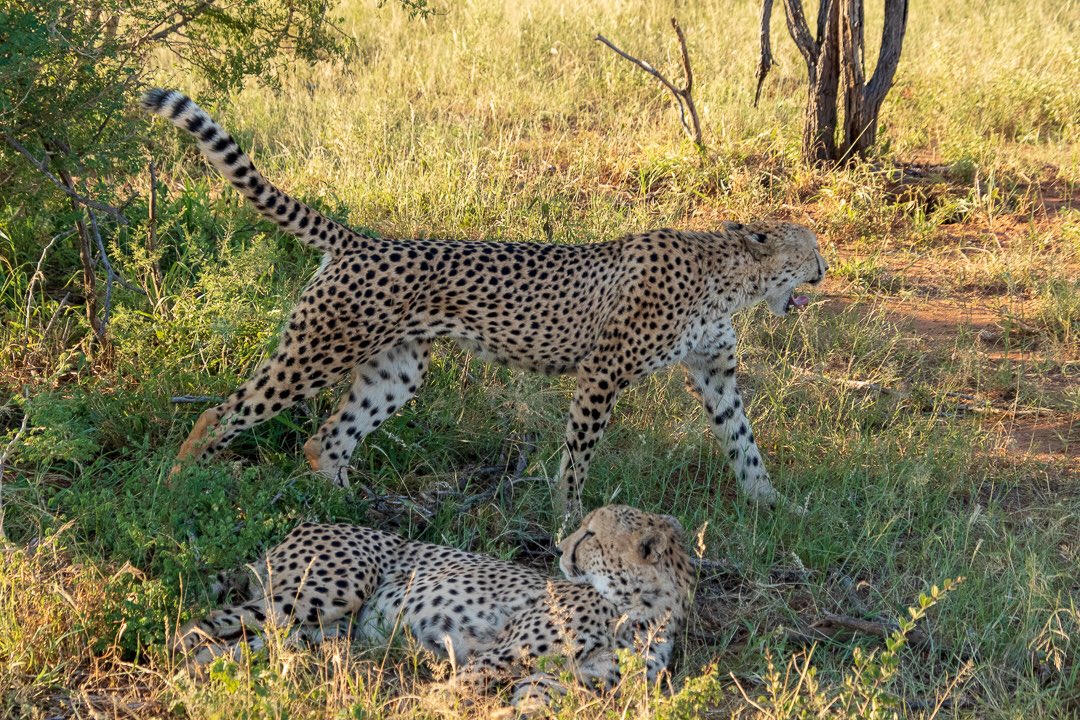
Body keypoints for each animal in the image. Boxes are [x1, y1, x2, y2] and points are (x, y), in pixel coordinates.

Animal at [141, 89, 828, 521]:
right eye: (811, 249)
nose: (824, 272)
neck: (730, 276)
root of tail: (362, 238)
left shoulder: (716, 374)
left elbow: (744, 442)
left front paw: (774, 506)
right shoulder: (602, 373)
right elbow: (578, 454)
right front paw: (567, 515)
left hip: (396, 370)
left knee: (325, 441)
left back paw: (350, 507)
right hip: (319, 350)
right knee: (223, 413)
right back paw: (178, 486)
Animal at [175, 505, 694, 701]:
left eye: (590, 535)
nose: (560, 547)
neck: (638, 611)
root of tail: (309, 522)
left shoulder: (568, 681)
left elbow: (531, 700)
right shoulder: (504, 653)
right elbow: (458, 688)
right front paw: (429, 708)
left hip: (318, 632)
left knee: (242, 647)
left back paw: (201, 675)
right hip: (324, 592)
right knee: (198, 627)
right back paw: (178, 671)